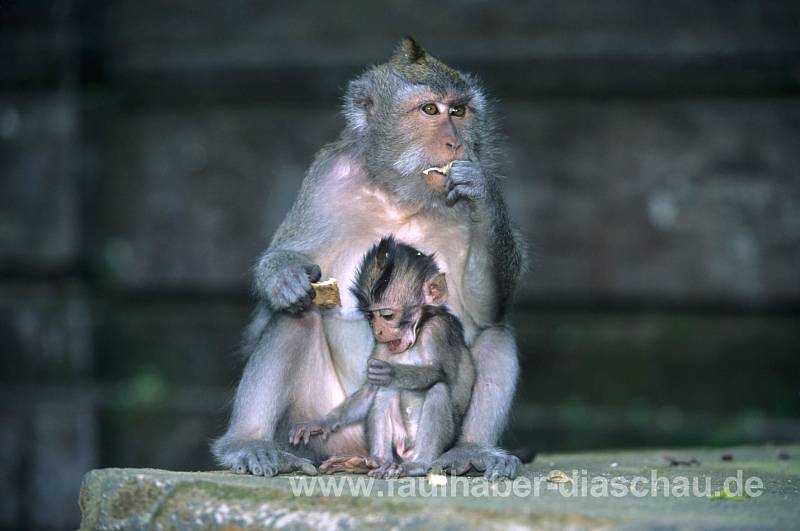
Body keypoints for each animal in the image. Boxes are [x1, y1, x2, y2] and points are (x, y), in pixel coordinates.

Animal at [287, 236, 475, 478]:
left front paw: (392, 372)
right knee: (384, 393)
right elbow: (370, 389)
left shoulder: (438, 331)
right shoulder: (382, 347)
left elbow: (441, 373)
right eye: (370, 317)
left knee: (438, 390)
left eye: (387, 315)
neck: (418, 333)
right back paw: (375, 460)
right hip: (399, 440)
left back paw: (418, 464)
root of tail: (406, 453)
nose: (378, 331)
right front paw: (322, 422)